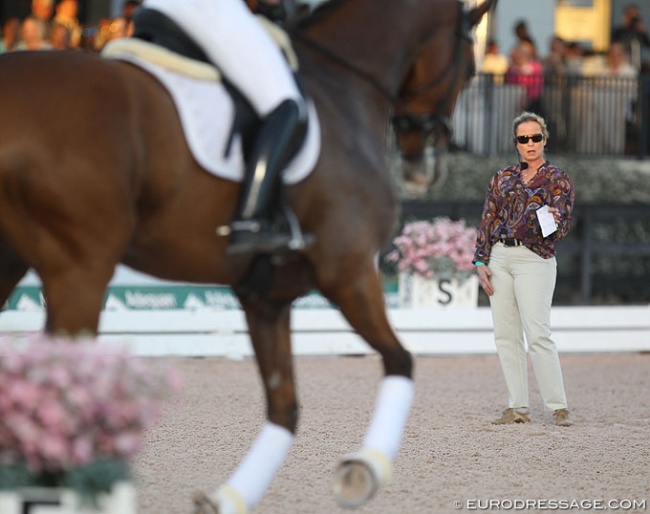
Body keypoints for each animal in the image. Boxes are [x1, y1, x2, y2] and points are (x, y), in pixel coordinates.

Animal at [1, 0, 492, 508]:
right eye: (470, 68)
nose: (425, 166)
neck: (341, 83)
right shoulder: (348, 269)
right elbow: (400, 360)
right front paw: (365, 469)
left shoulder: (265, 296)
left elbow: (285, 408)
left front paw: (226, 500)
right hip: (80, 271)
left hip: (15, 261)